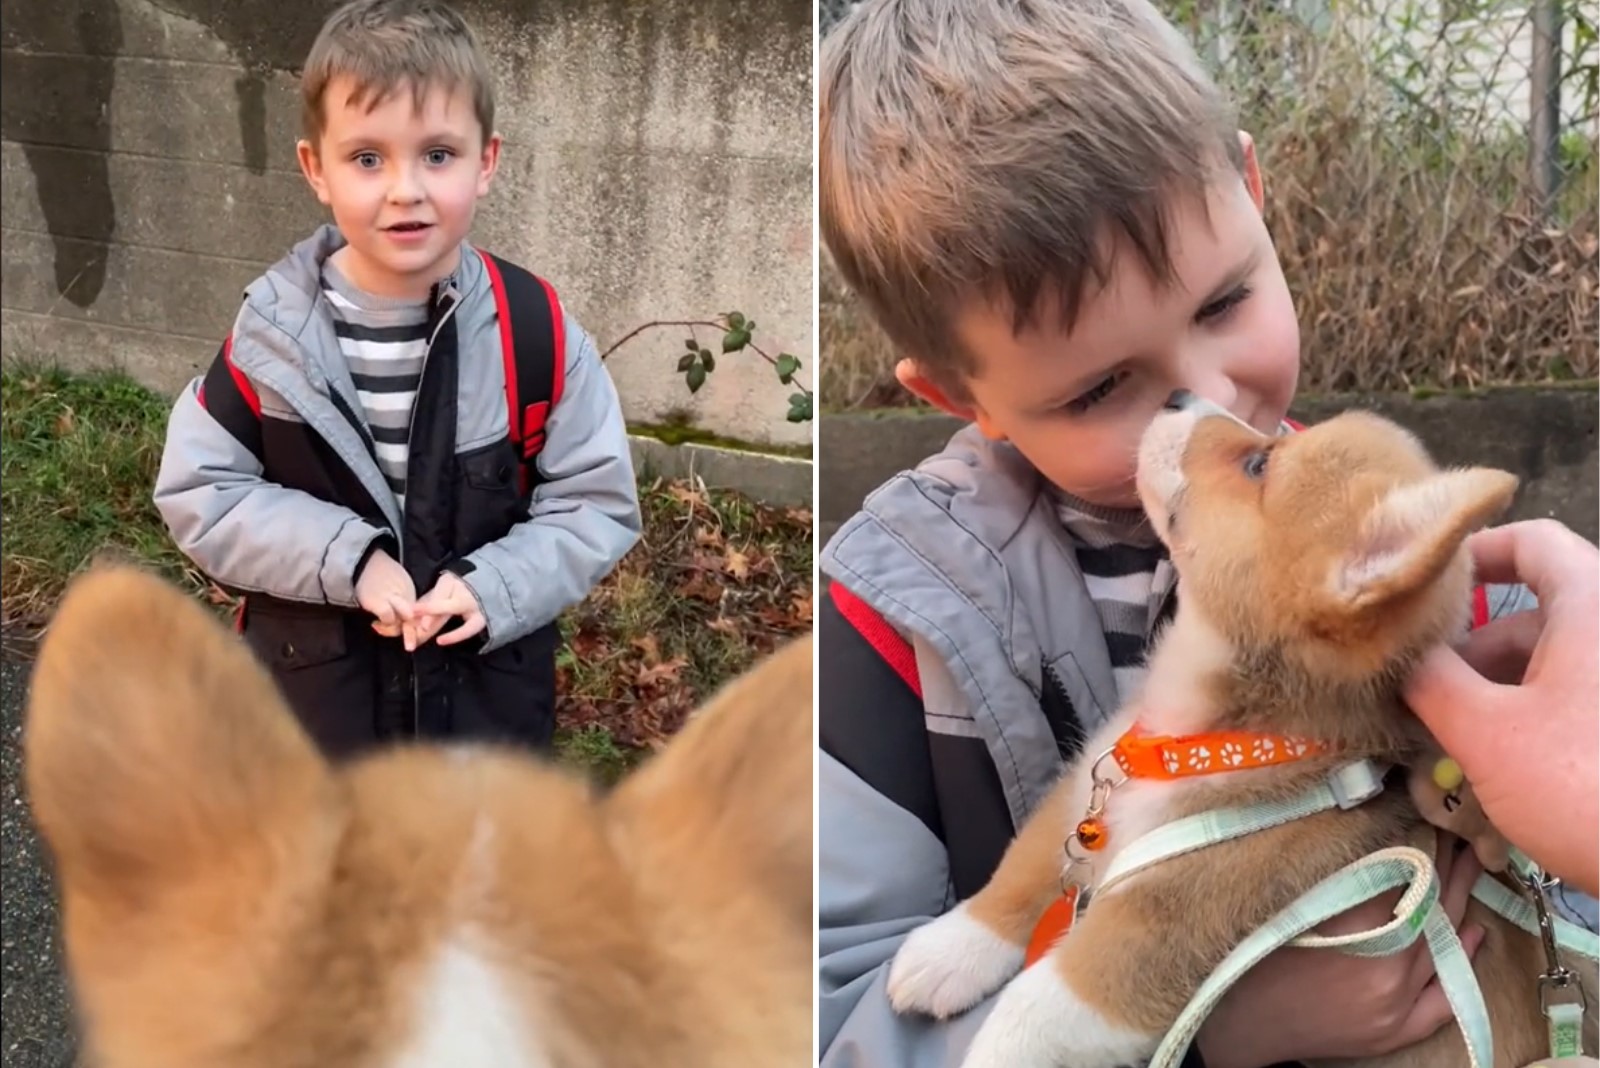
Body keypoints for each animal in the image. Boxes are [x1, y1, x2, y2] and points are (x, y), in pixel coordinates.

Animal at [896, 396, 1593, 1061]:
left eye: (1259, 464)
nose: (1177, 396)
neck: (1197, 742)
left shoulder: (1164, 926)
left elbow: (1036, 1008)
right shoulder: (1083, 793)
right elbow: (1023, 867)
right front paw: (945, 953)